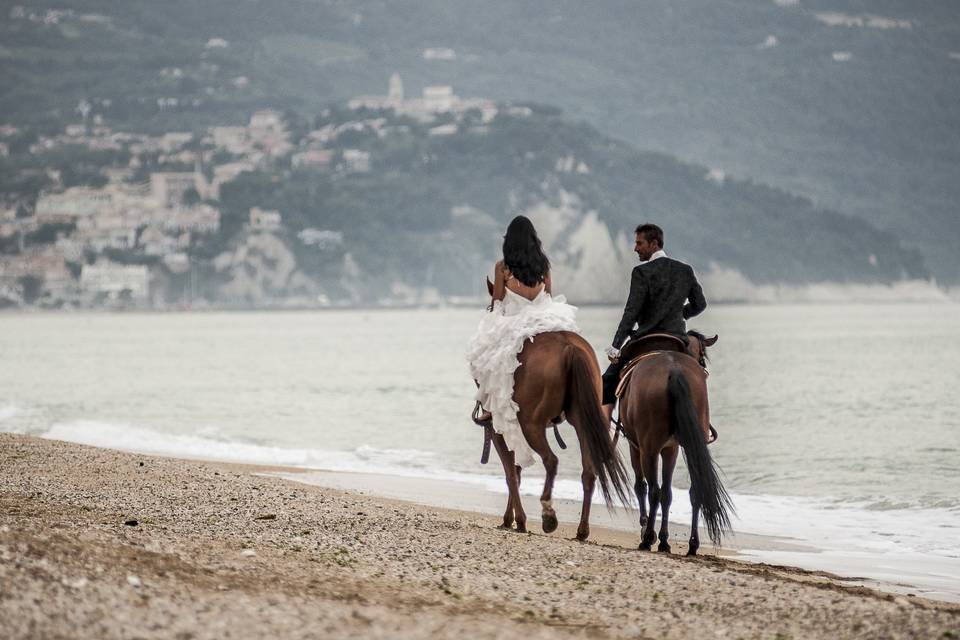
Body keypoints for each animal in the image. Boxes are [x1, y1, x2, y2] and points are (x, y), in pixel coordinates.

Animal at [478, 280, 632, 540]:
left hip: (531, 425)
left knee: (551, 460)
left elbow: (511, 474)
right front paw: (512, 518)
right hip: (583, 422)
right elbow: (516, 471)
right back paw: (582, 530)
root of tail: (568, 347)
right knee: (589, 472)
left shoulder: (500, 430)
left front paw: (516, 520)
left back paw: (548, 514)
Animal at [620, 336, 732, 556]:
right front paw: (664, 540)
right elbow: (668, 493)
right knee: (693, 490)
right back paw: (692, 544)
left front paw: (649, 532)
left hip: (649, 448)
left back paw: (647, 539)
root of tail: (674, 370)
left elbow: (642, 487)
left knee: (653, 490)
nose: (703, 366)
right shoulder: (671, 449)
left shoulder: (636, 446)